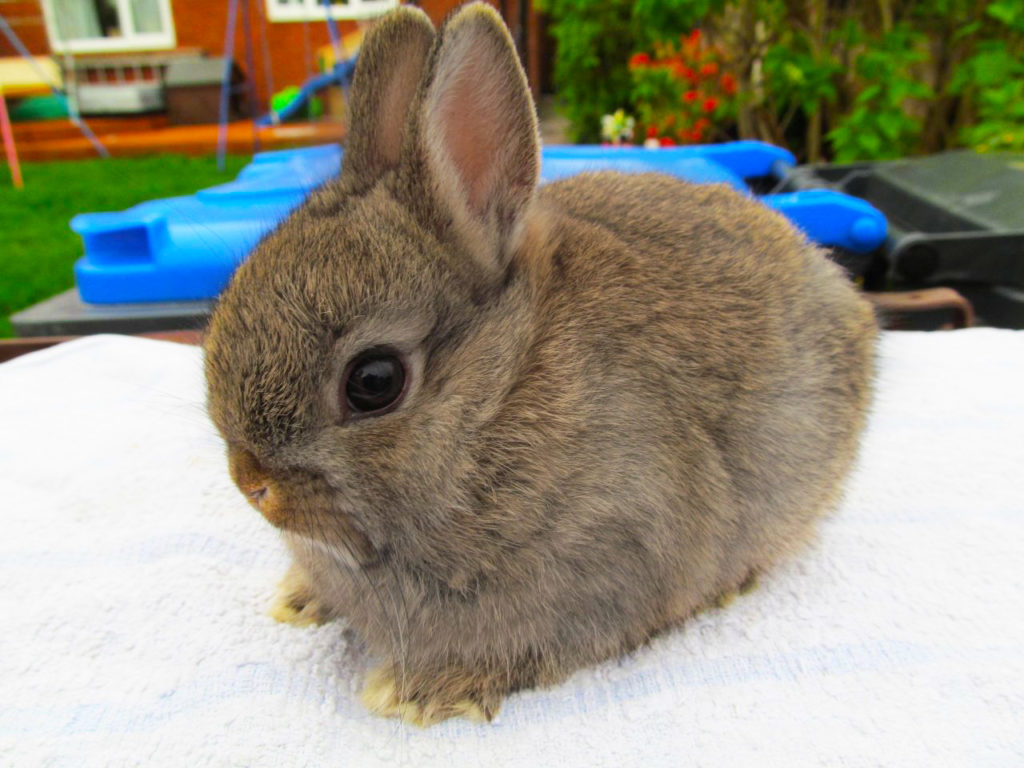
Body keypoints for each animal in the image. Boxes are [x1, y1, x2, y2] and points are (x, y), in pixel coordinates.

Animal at [204, 2, 877, 726]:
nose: (251, 483)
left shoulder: (612, 556)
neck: (494, 397)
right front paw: (300, 599)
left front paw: (420, 691)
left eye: (374, 382)